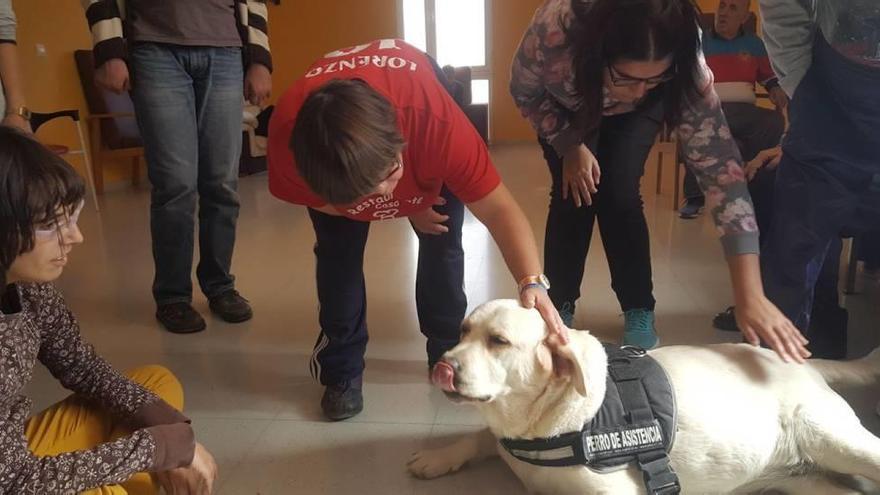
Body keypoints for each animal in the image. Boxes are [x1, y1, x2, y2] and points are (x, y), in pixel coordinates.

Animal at [410, 300, 880, 494]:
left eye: (499, 342)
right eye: (463, 331)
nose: (442, 367)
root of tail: (807, 365)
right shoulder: (505, 437)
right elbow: (477, 438)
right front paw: (437, 457)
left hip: (830, 436)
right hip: (805, 482)